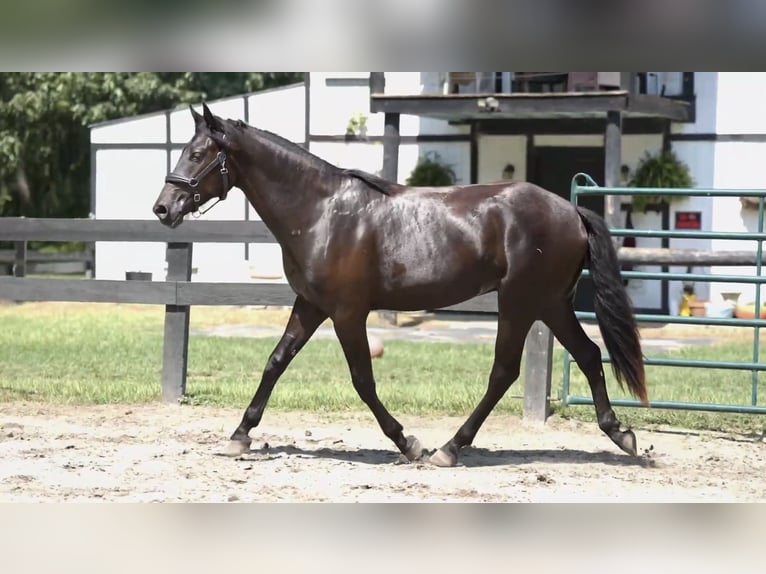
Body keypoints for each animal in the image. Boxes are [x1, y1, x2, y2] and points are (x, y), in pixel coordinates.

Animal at [152, 103, 648, 467]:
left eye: (197, 154)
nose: (162, 208)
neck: (321, 212)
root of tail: (571, 211)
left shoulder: (347, 313)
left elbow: (362, 380)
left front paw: (408, 443)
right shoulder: (311, 305)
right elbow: (275, 363)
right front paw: (239, 435)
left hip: (521, 304)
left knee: (504, 372)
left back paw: (448, 449)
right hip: (551, 304)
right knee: (588, 354)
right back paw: (621, 435)